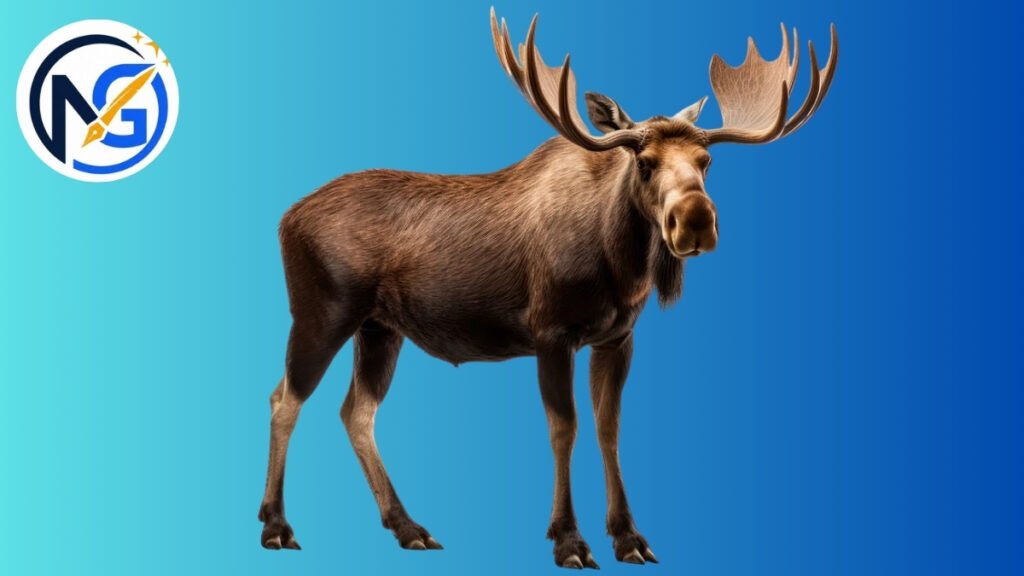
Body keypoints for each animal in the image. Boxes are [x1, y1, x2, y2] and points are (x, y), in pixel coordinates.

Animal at [258, 7, 838, 569]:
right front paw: (569, 540)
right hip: (322, 313)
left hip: (381, 329)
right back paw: (277, 525)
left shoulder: (617, 337)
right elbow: (566, 428)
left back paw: (408, 527)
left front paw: (628, 536)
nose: (694, 222)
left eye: (706, 161)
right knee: (285, 397)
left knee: (356, 411)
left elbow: (608, 427)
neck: (619, 265)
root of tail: (285, 218)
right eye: (644, 162)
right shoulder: (551, 334)